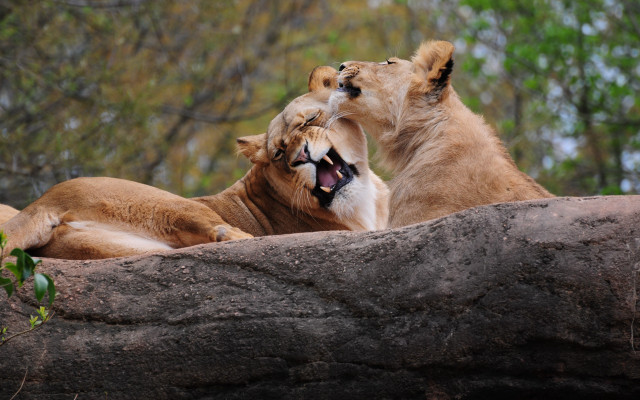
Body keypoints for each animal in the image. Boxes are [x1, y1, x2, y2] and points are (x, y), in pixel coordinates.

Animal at [0, 66, 388, 260]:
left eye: (309, 120)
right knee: (221, 232)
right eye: (279, 153)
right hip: (164, 201)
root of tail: (44, 202)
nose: (300, 156)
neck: (366, 200)